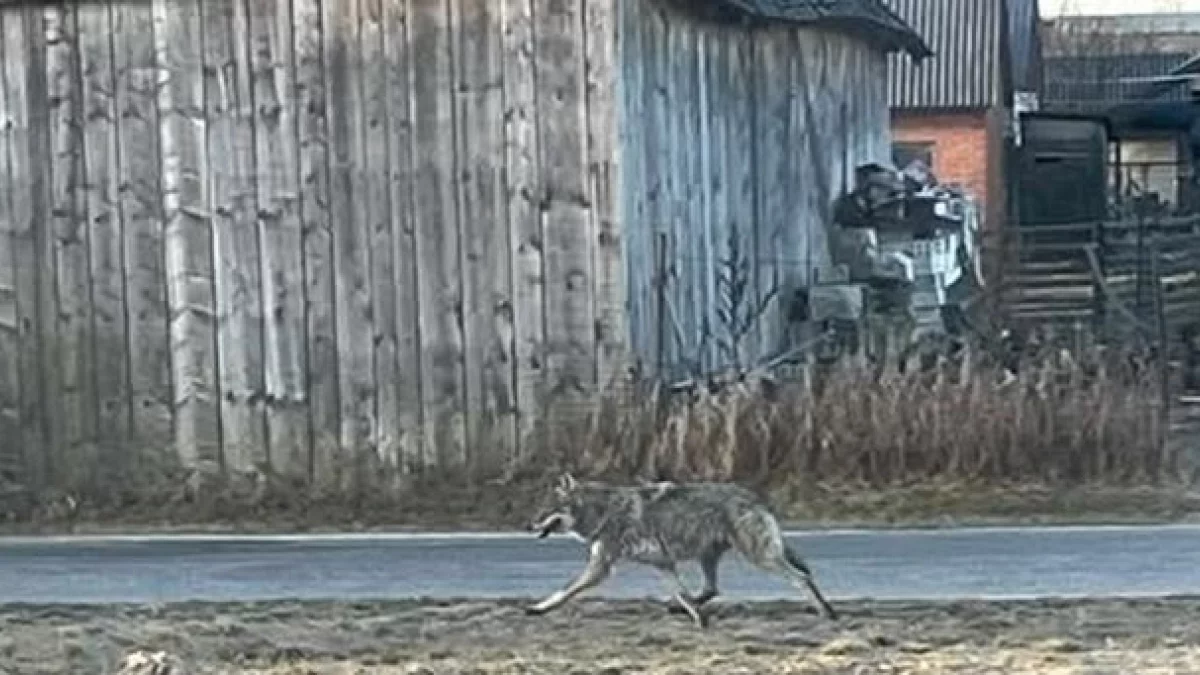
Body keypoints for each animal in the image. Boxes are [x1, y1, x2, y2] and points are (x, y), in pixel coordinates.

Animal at [520, 473, 840, 624]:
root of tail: (756, 498)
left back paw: (826, 612)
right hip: (709, 557)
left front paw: (538, 609)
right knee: (710, 589)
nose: (527, 524)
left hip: (758, 557)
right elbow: (682, 594)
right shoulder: (664, 564)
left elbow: (564, 591)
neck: (602, 512)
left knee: (802, 578)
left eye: (546, 510)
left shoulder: (600, 568)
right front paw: (698, 618)